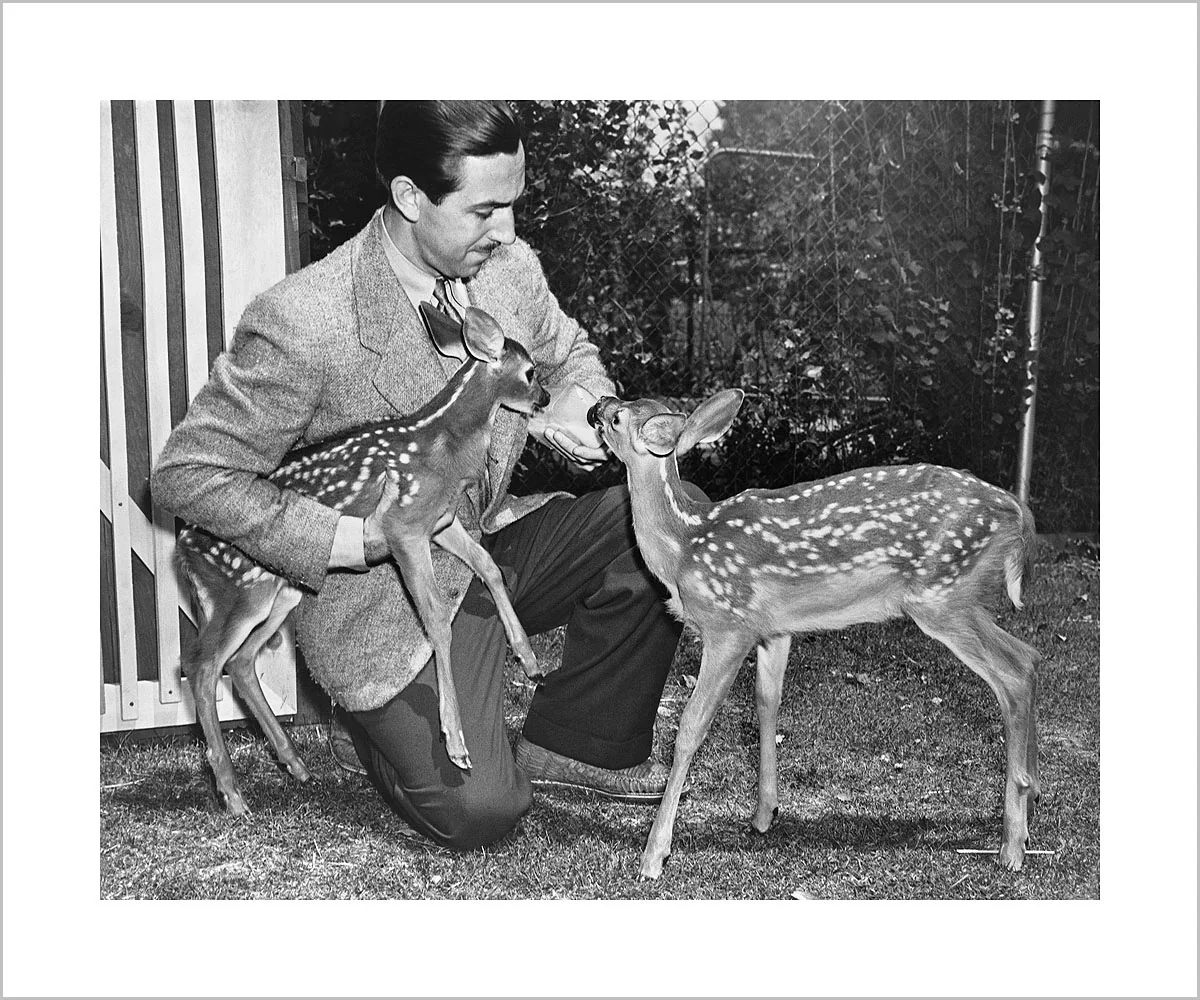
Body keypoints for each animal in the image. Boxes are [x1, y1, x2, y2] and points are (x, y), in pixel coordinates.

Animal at [174, 307, 551, 817]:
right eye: (529, 373)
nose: (545, 398)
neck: (444, 442)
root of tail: (182, 549)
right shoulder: (402, 526)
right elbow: (437, 620)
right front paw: (455, 742)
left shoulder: (439, 521)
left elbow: (489, 566)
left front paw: (529, 660)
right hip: (237, 590)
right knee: (201, 664)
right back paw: (233, 794)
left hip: (281, 590)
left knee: (242, 660)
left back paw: (295, 765)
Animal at [587, 388, 1042, 880]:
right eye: (621, 400)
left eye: (617, 417)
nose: (596, 405)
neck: (683, 548)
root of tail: (1018, 514)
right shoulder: (774, 629)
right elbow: (766, 703)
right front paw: (764, 814)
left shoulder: (730, 625)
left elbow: (691, 726)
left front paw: (654, 854)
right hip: (959, 598)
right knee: (1029, 657)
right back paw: (1031, 806)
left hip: (941, 596)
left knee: (1014, 672)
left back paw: (1012, 844)